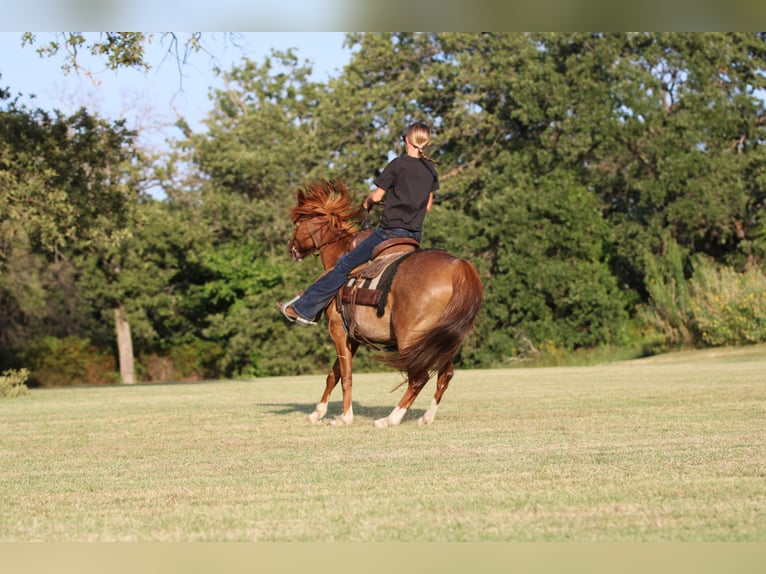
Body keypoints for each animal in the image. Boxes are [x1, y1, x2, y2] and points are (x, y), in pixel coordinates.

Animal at [285, 180, 483, 427]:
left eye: (297, 223)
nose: (291, 249)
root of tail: (457, 266)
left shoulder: (338, 330)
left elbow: (346, 375)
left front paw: (345, 417)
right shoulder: (352, 337)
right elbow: (334, 374)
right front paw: (317, 413)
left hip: (412, 339)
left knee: (419, 377)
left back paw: (390, 419)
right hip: (443, 340)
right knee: (444, 375)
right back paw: (426, 417)